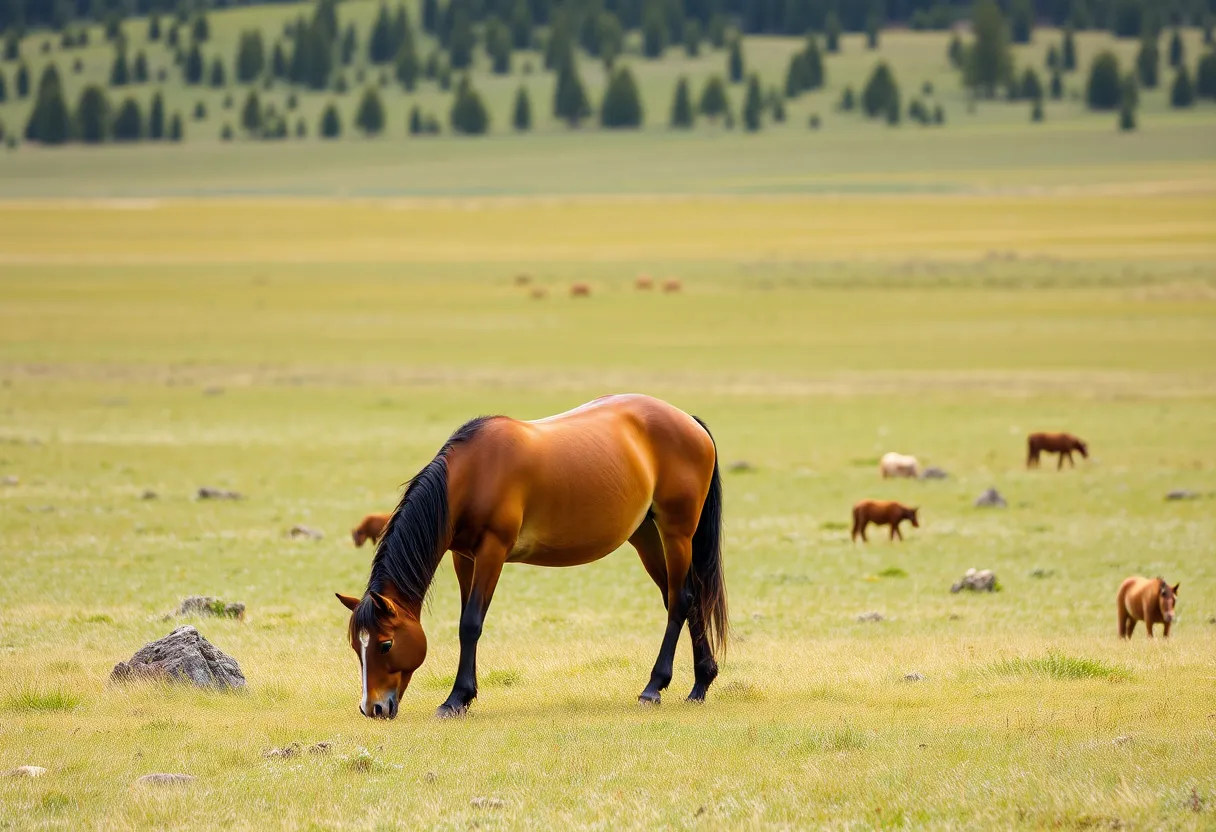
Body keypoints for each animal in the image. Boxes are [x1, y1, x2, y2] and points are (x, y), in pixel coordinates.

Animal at [336, 394, 728, 719]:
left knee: (681, 600)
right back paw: (700, 684)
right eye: (356, 645)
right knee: (684, 599)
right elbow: (465, 619)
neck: (473, 474)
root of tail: (690, 422)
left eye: (385, 644)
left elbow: (471, 623)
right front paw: (466, 695)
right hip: (644, 535)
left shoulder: (492, 551)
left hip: (677, 533)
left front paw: (456, 699)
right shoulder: (464, 557)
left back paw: (654, 687)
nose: (372, 708)